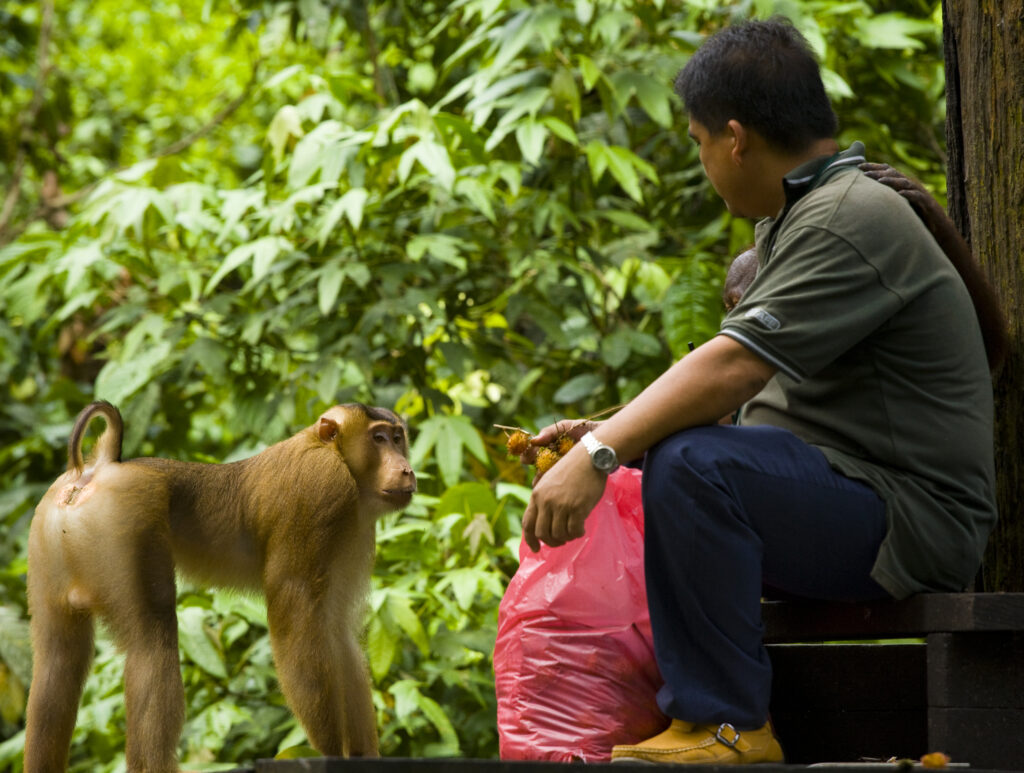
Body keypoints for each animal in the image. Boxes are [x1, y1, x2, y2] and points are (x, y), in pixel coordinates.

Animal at [24, 401, 417, 773]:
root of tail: (101, 467)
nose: (407, 469)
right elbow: (296, 615)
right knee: (152, 642)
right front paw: (330, 753)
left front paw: (364, 755)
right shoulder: (321, 489)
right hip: (129, 517)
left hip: (48, 531)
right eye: (378, 438)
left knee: (58, 659)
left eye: (398, 438)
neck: (334, 455)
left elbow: (337, 632)